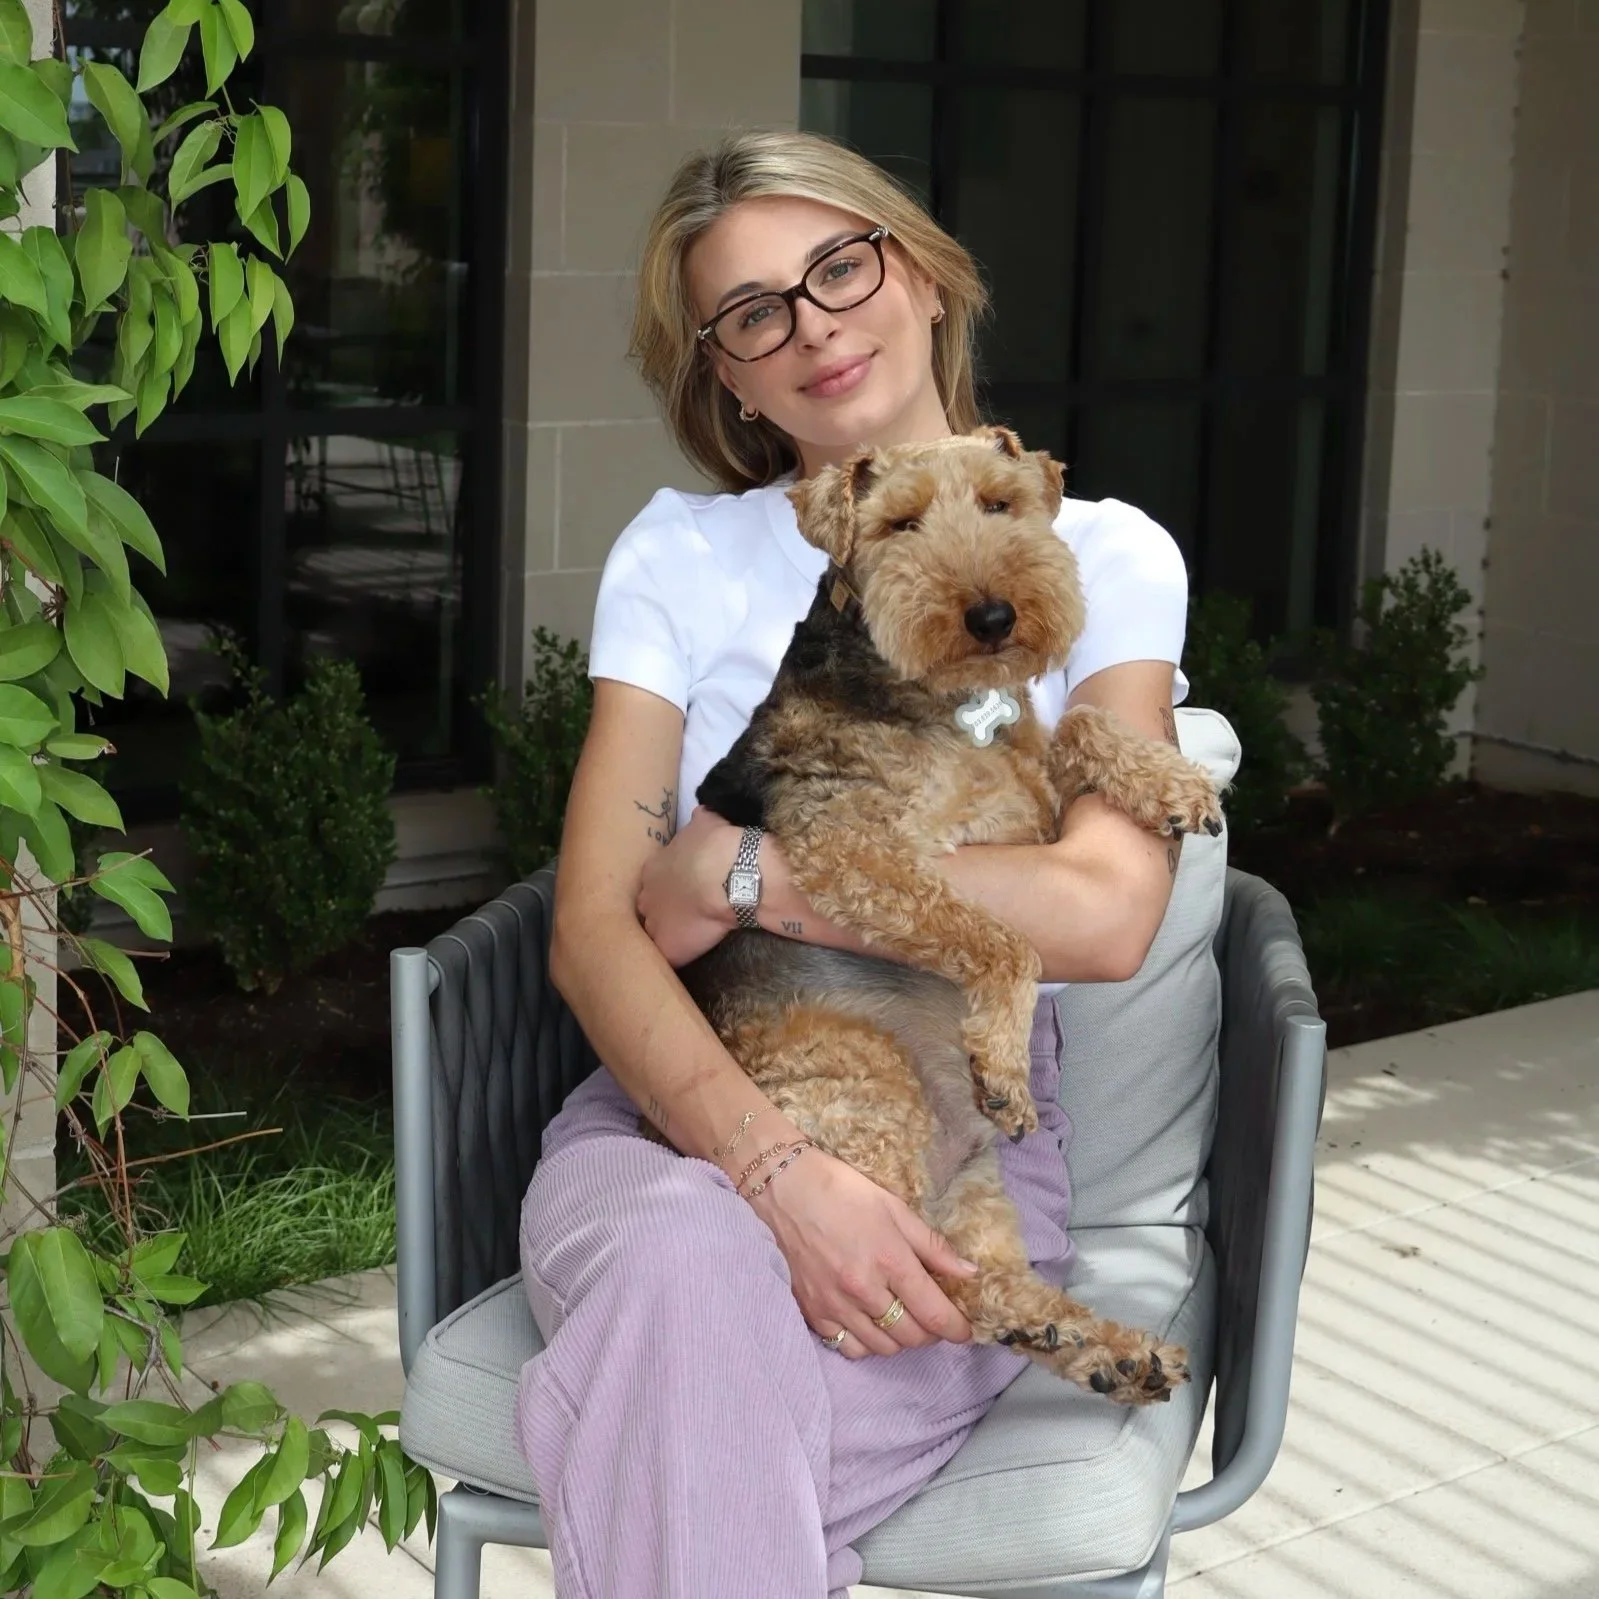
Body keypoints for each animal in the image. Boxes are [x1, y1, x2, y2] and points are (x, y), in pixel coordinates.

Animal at [677, 425, 1221, 1404]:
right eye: (900, 523)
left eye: (1001, 504)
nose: (994, 616)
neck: (950, 701)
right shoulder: (850, 848)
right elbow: (1000, 941)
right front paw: (1001, 1064)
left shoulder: (1033, 806)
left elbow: (1077, 723)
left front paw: (1172, 784)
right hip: (867, 1089)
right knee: (929, 1280)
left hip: (974, 1188)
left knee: (989, 1282)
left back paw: (1110, 1348)